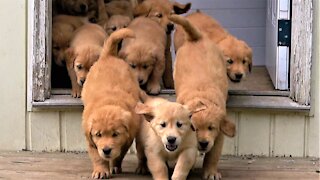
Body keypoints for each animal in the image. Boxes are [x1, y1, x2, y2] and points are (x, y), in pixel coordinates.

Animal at [170, 14, 235, 180]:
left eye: (211, 128)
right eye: (194, 128)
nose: (203, 143)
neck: (201, 100)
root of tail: (196, 38)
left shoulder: (218, 137)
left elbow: (213, 155)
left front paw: (210, 172)